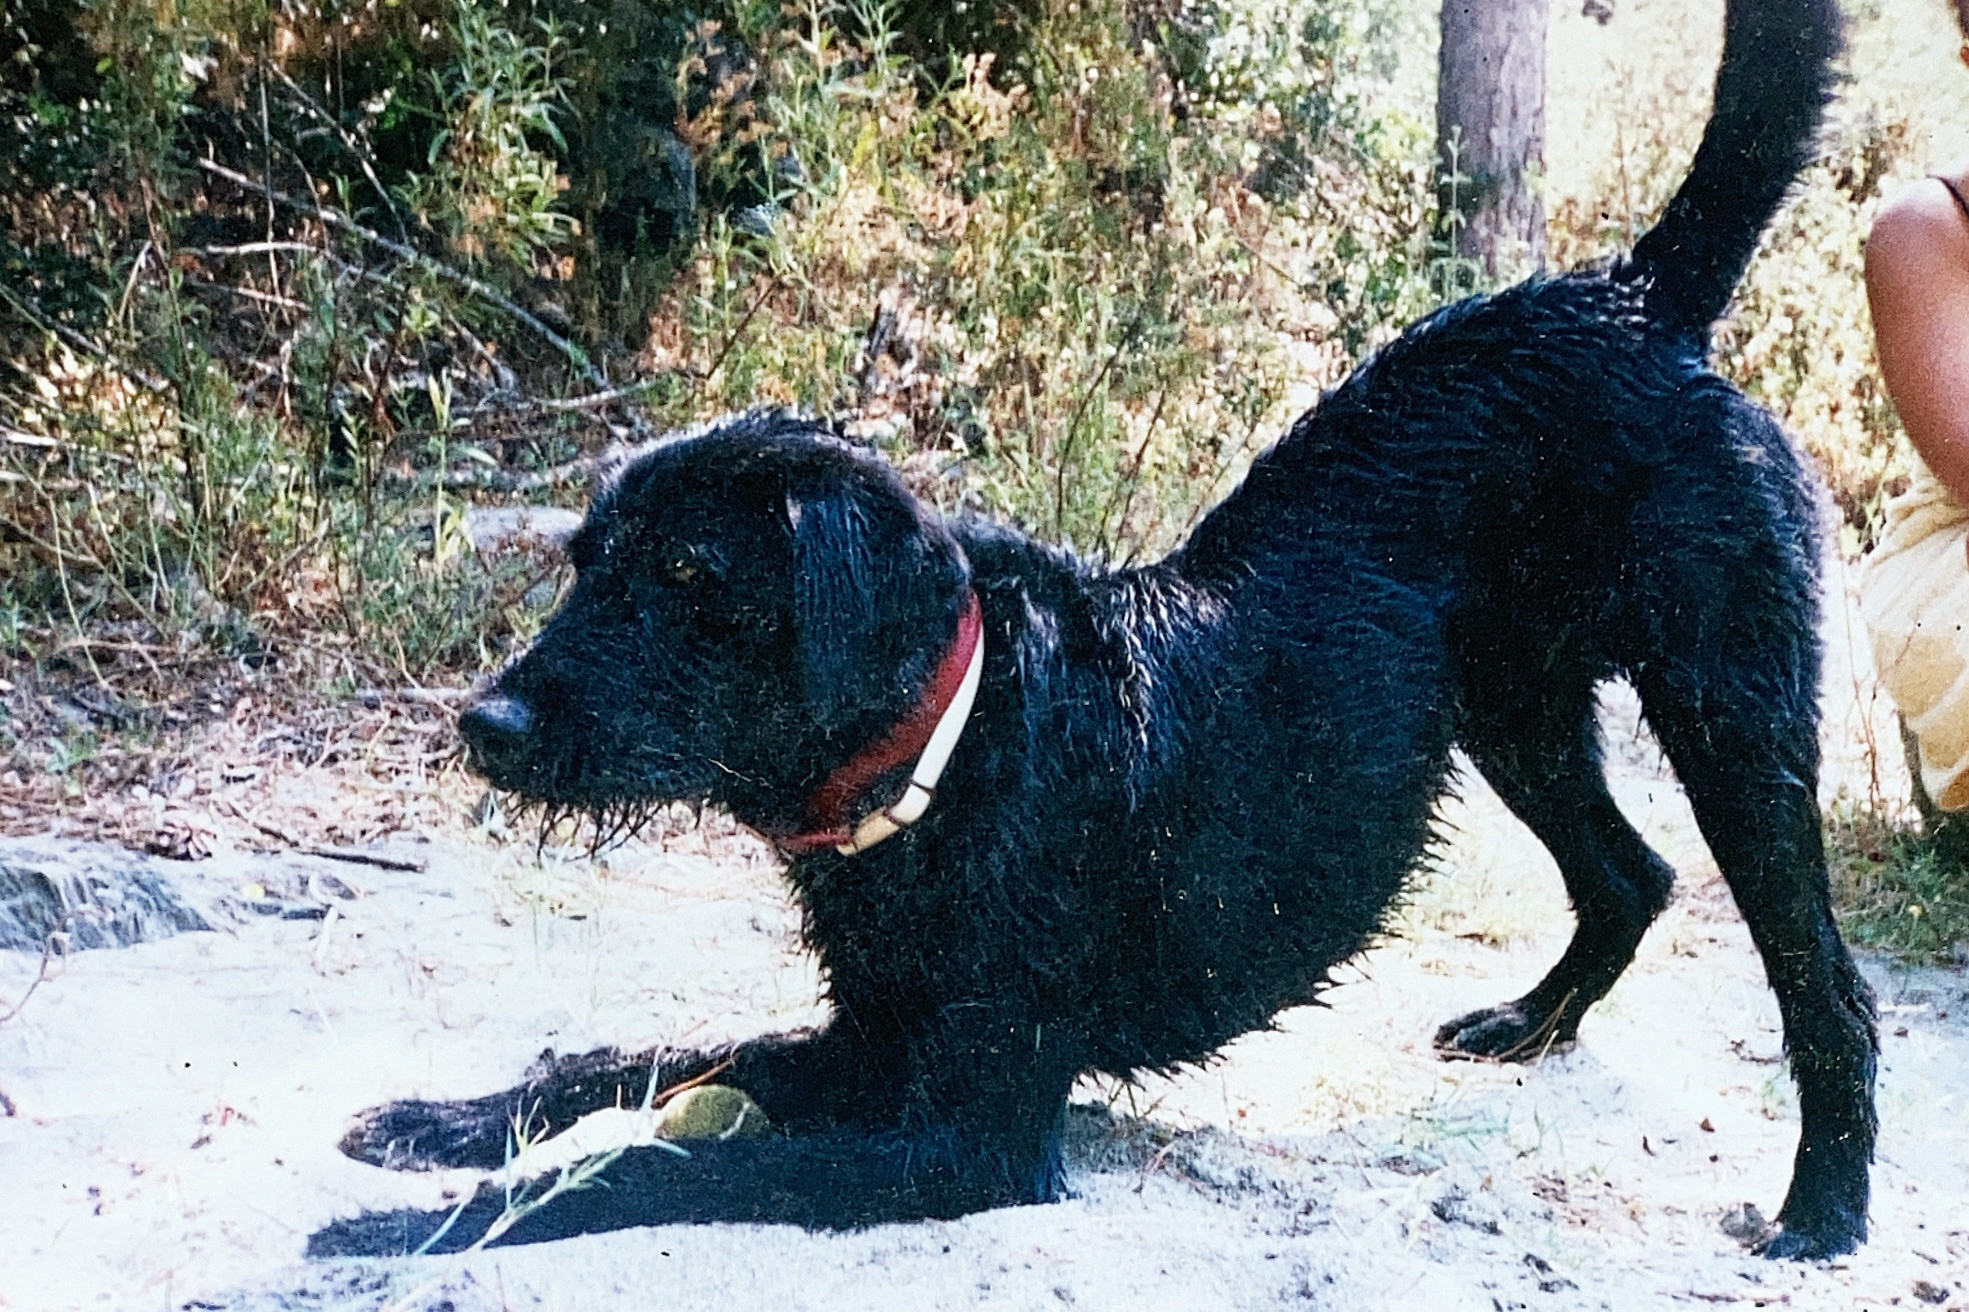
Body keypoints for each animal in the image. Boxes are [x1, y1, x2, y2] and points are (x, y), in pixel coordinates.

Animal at [311, 0, 1874, 1260]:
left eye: (693, 575)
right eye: (585, 563)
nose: (484, 725)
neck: (956, 744)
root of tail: (1630, 294)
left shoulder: (963, 1135)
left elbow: (636, 1171)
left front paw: (417, 1221)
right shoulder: (871, 1044)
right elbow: (628, 1064)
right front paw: (442, 1121)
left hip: (1732, 718)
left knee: (1825, 989)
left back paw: (1824, 1208)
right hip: (1513, 713)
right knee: (1628, 873)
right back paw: (1532, 1026)